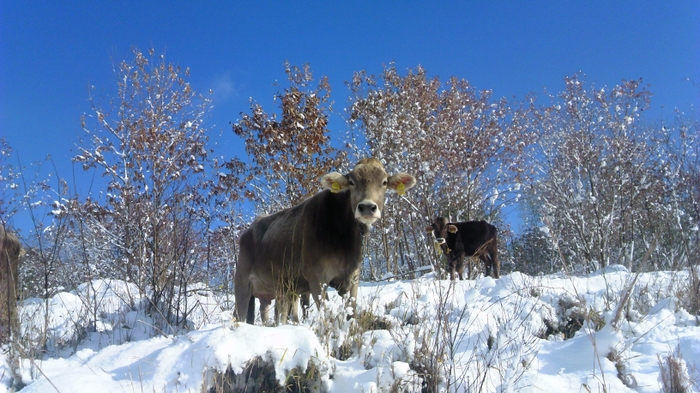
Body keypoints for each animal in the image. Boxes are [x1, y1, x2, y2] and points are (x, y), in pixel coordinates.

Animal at [237, 158, 416, 324]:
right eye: (351, 182)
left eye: (384, 182)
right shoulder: (316, 278)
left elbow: (351, 312)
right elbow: (327, 313)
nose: (366, 207)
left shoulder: (352, 277)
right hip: (242, 284)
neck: (344, 241)